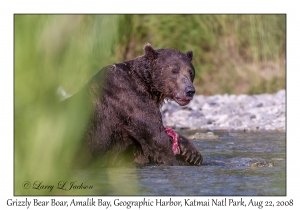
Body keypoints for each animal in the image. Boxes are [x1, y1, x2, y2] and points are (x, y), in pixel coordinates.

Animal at [68, 43, 202, 167]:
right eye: (174, 70)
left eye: (191, 72)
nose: (189, 90)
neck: (147, 85)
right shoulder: (131, 101)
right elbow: (158, 139)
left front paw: (192, 153)